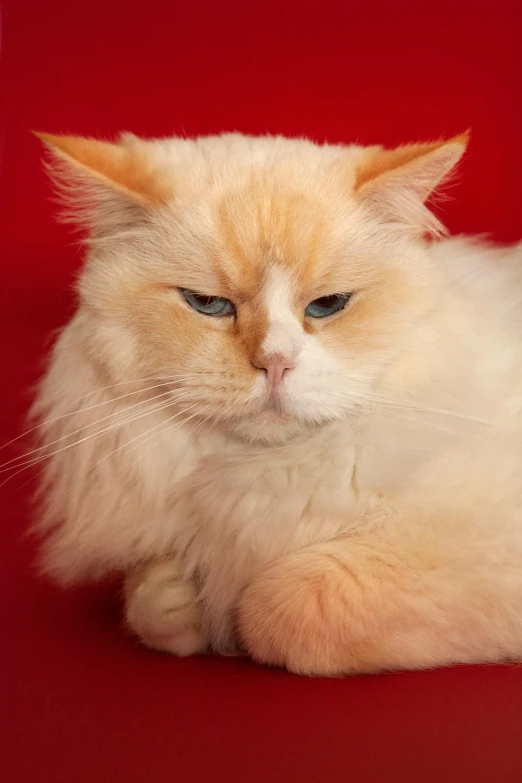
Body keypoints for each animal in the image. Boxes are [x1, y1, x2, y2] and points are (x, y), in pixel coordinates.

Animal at [27, 129, 520, 672]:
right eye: (208, 304)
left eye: (328, 305)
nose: (275, 363)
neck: (269, 469)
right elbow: (151, 601)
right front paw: (190, 602)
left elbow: (277, 605)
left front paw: (236, 626)